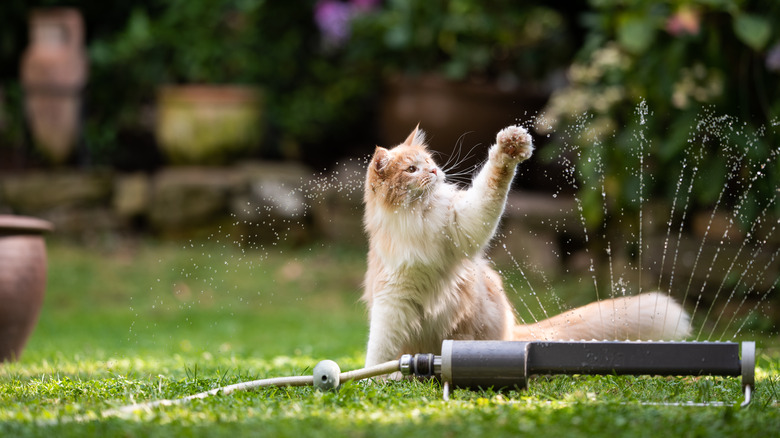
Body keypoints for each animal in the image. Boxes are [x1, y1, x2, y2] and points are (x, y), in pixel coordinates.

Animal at [360, 123, 688, 366]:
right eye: (411, 170)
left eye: (428, 163)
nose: (434, 172)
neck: (419, 218)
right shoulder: (392, 299)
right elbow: (379, 350)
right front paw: (377, 379)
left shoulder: (465, 223)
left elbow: (494, 183)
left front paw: (509, 148)